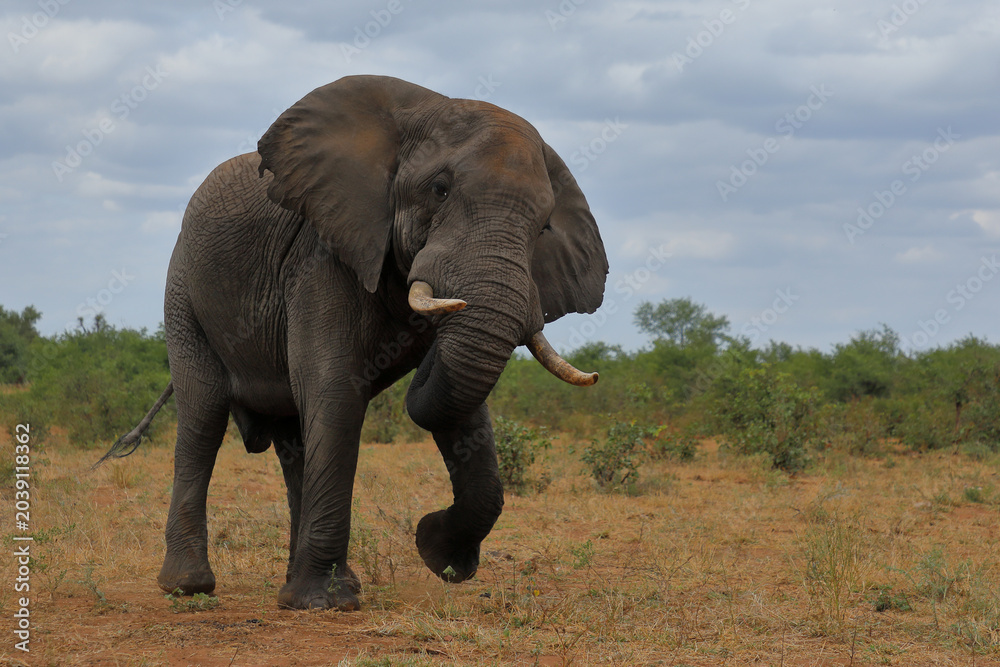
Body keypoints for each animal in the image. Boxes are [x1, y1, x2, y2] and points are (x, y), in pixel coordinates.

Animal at [102, 75, 608, 611]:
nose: (421, 345)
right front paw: (330, 601)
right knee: (202, 419)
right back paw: (190, 587)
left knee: (294, 441)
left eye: (544, 225)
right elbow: (338, 391)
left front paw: (438, 554)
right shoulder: (320, 255)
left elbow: (464, 414)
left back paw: (290, 585)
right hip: (183, 294)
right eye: (440, 189)